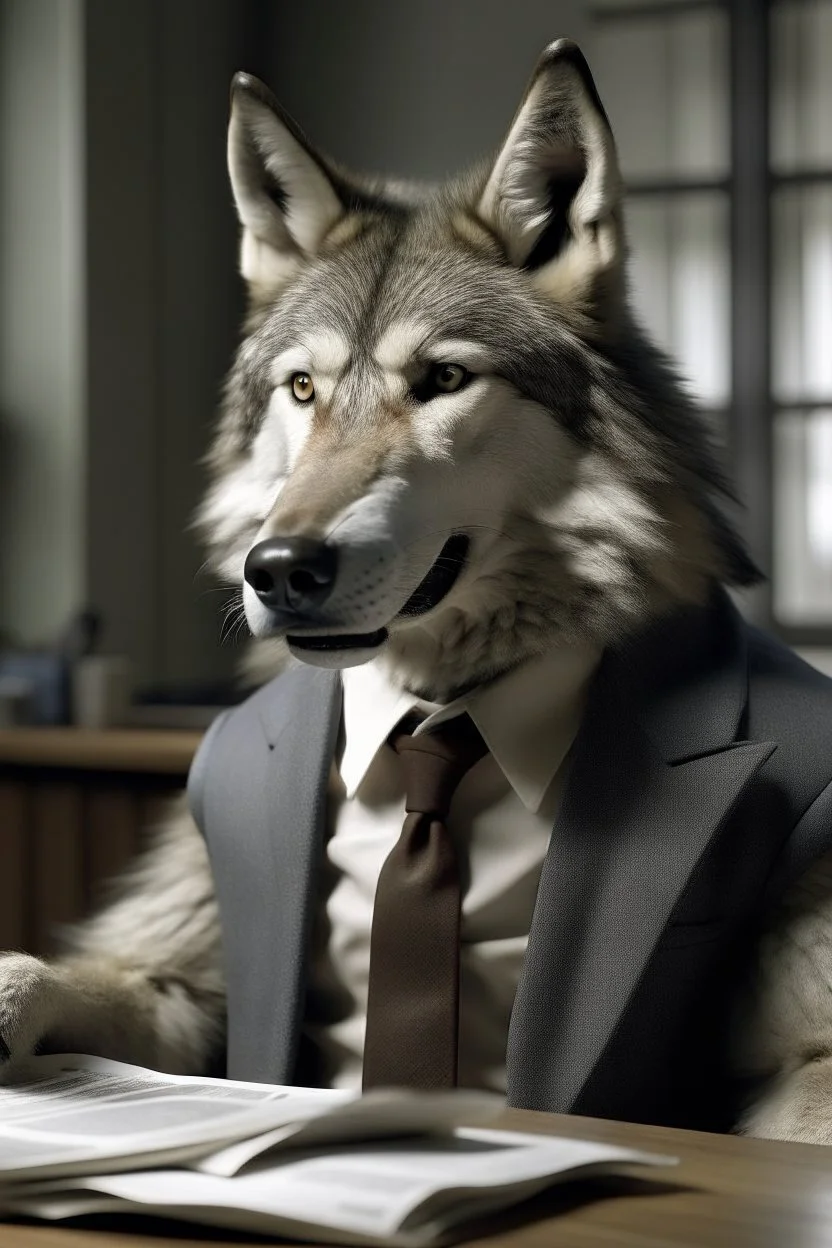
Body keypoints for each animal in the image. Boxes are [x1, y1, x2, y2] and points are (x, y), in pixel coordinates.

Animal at [3, 39, 832, 1142]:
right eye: (301, 389)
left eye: (443, 380)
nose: (279, 569)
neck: (442, 708)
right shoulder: (187, 974)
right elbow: (82, 974)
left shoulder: (811, 1054)